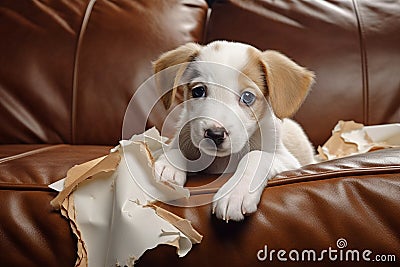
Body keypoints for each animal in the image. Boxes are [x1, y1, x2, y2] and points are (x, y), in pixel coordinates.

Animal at [152, 40, 314, 222]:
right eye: (198, 91)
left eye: (248, 97)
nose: (214, 134)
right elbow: (175, 147)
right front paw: (168, 168)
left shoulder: (288, 160)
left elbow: (255, 156)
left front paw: (235, 194)